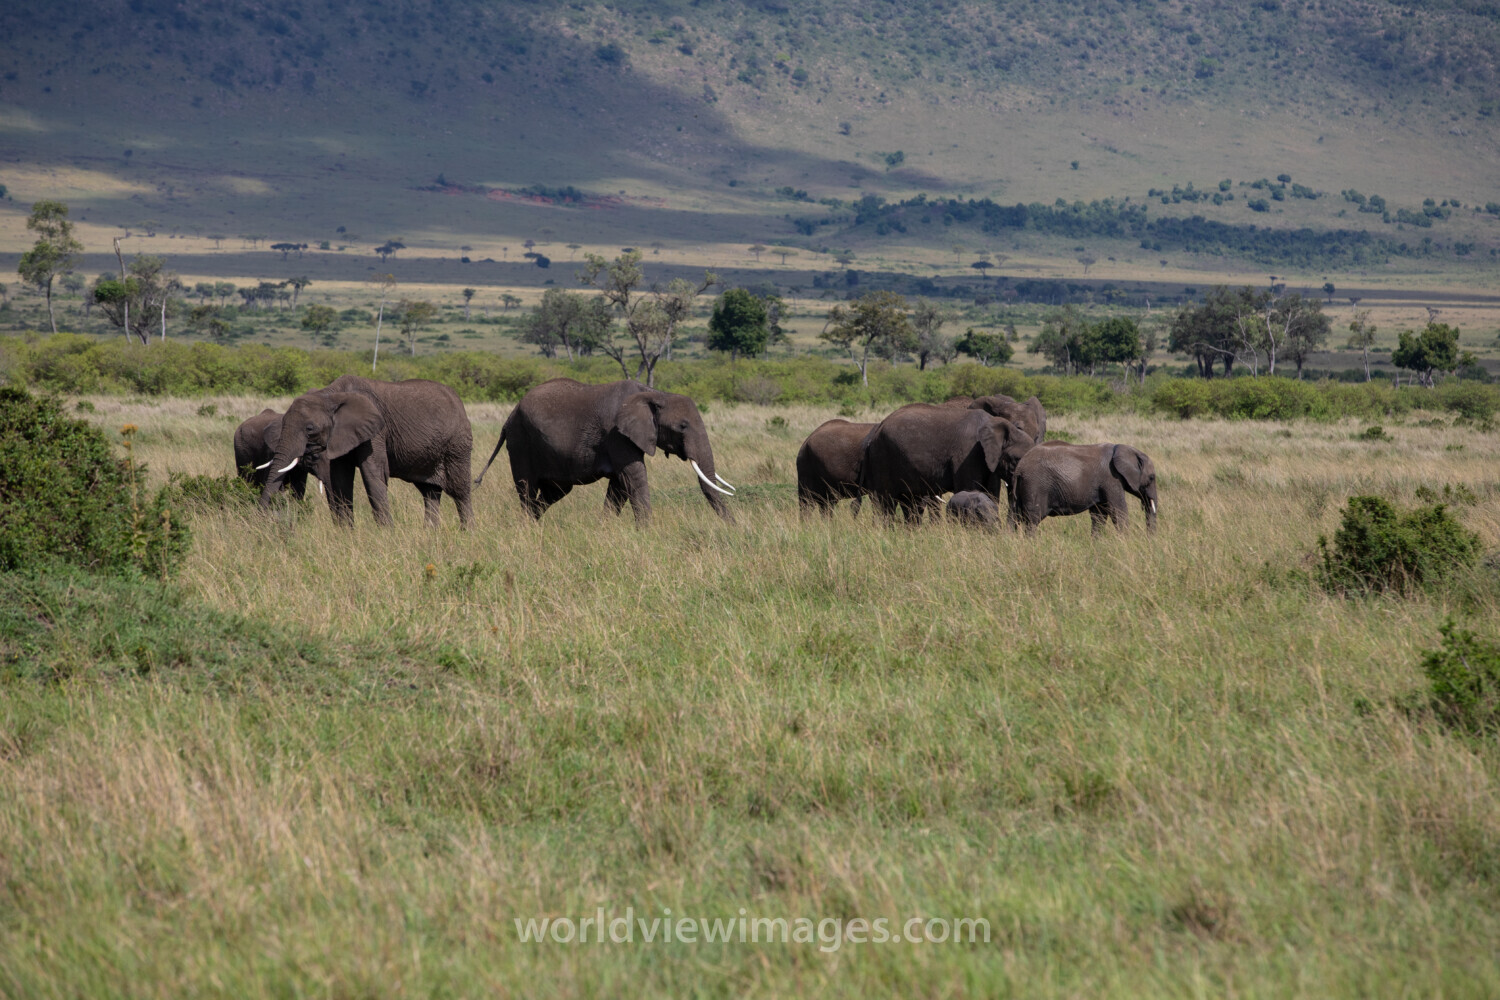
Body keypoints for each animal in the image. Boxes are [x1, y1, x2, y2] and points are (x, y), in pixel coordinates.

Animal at [259, 375, 473, 528]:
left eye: (310, 428)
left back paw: (467, 533)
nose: (261, 520)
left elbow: (373, 474)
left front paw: (386, 533)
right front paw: (346, 533)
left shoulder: (376, 432)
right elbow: (341, 477)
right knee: (430, 492)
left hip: (458, 443)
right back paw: (430, 533)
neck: (330, 394)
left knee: (459, 490)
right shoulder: (342, 436)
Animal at [474, 378, 734, 525]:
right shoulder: (617, 435)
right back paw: (527, 528)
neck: (655, 393)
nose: (733, 527)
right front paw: (648, 531)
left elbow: (619, 485)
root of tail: (510, 414)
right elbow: (634, 477)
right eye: (682, 427)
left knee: (553, 492)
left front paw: (605, 529)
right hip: (521, 441)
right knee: (527, 488)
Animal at [857, 403, 1035, 522]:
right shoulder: (968, 453)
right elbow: (970, 488)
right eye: (1016, 459)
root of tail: (877, 428)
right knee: (885, 502)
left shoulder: (989, 459)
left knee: (910, 503)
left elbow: (991, 493)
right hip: (882, 457)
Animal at [1010, 442, 1158, 535]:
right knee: (1032, 520)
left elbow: (1099, 515)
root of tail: (1019, 468)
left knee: (1015, 516)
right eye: (1151, 478)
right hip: (1035, 485)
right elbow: (1118, 510)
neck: (1122, 448)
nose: (1149, 539)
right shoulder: (1111, 479)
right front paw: (1125, 541)